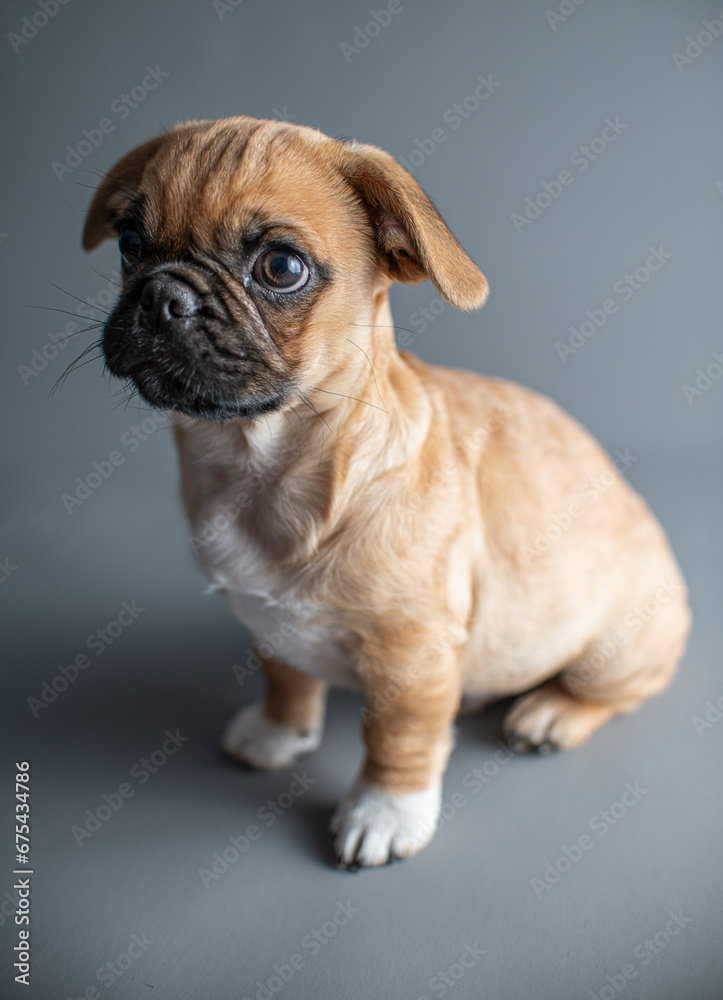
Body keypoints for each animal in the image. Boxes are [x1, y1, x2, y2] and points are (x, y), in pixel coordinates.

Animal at [82, 117, 692, 868]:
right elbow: (285, 677)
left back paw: (550, 713)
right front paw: (277, 732)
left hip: (616, 646)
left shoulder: (410, 656)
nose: (161, 295)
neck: (263, 461)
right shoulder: (265, 621)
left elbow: (396, 738)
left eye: (281, 268)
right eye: (130, 246)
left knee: (608, 691)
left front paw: (385, 812)